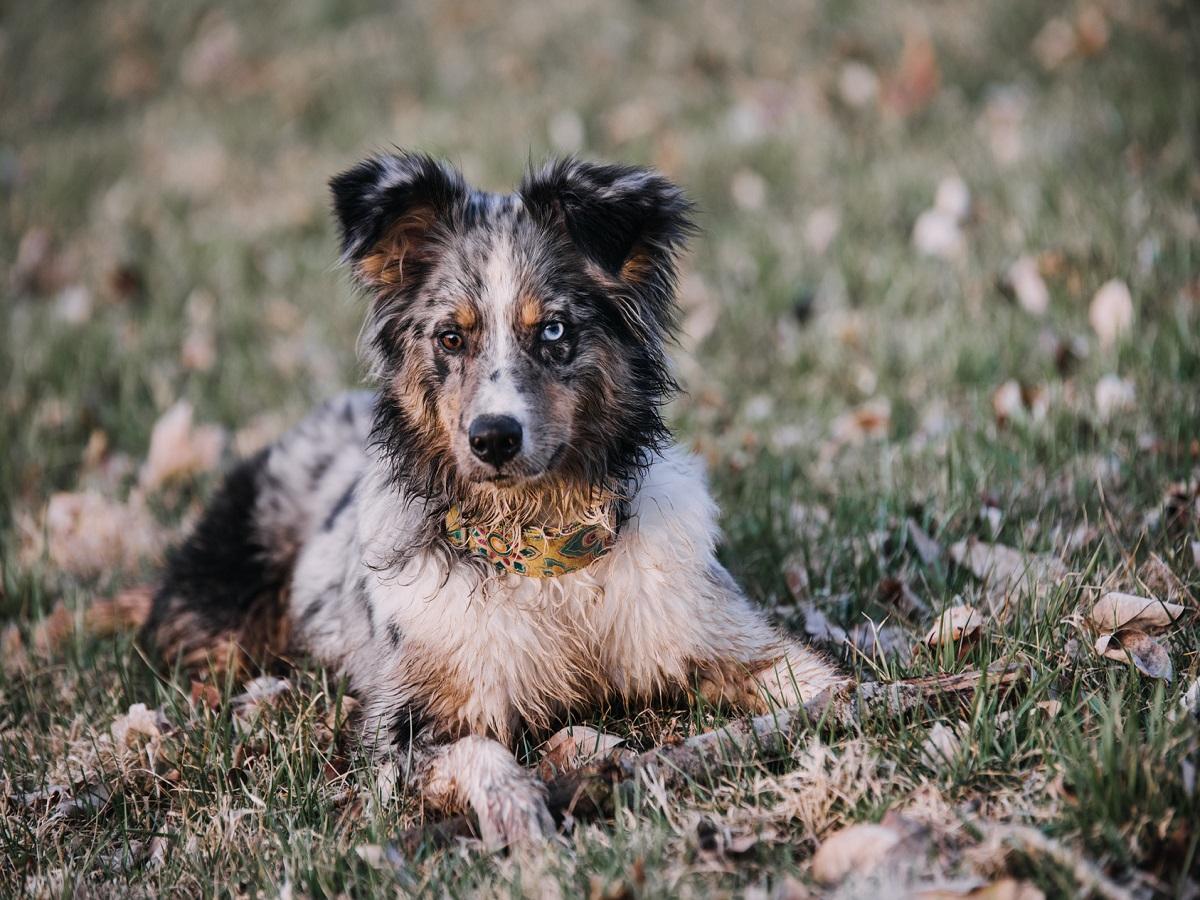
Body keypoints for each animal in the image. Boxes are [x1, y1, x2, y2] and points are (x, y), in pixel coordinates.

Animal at [142, 154, 844, 854]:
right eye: (451, 338)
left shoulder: (721, 635)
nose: (494, 438)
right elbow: (479, 752)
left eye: (554, 330)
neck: (540, 542)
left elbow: (822, 681)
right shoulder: (402, 724)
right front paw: (520, 815)